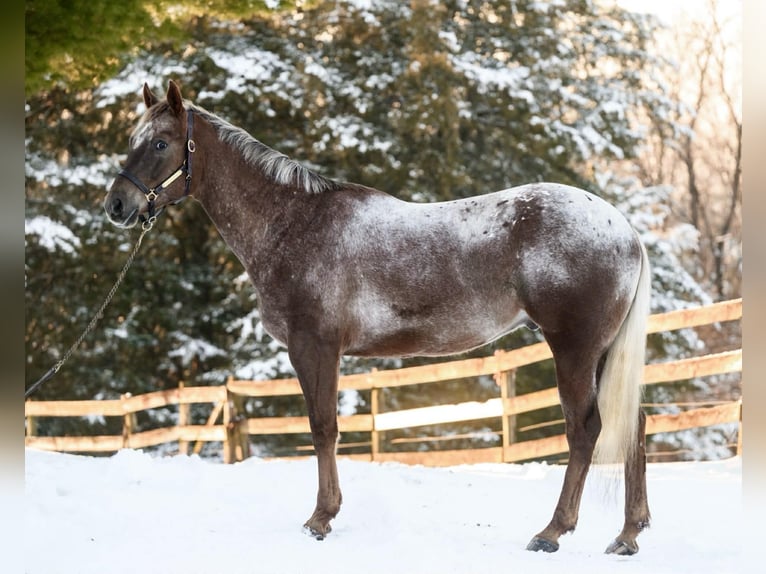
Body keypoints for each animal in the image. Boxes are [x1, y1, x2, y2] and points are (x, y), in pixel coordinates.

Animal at [104, 80, 651, 555]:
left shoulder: (315, 347)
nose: (117, 205)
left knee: (586, 429)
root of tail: (624, 229)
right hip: (603, 353)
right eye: (133, 141)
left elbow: (323, 428)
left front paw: (320, 519)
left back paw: (552, 532)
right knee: (634, 423)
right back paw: (627, 535)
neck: (294, 223)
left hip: (574, 350)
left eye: (160, 143)